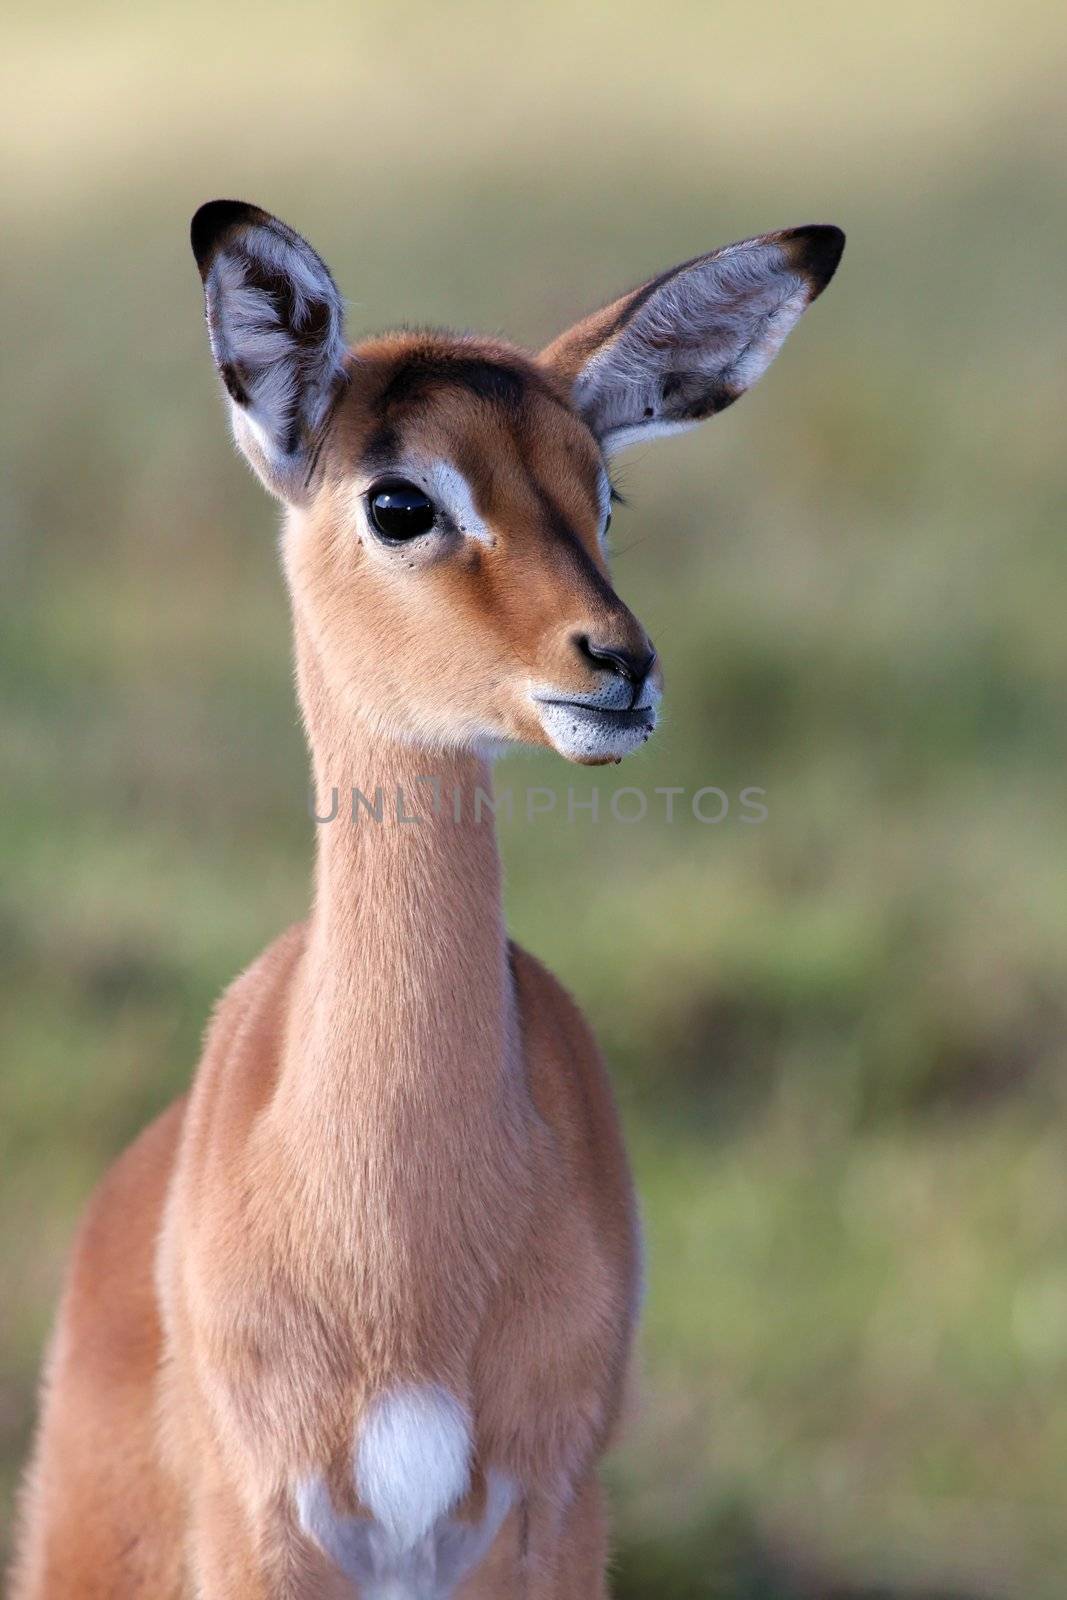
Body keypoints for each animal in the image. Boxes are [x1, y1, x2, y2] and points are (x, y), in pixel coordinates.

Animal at [10, 203, 844, 1600]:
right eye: (400, 500)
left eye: (603, 492)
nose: (620, 665)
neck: (401, 1259)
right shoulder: (268, 1526)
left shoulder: (546, 1515)